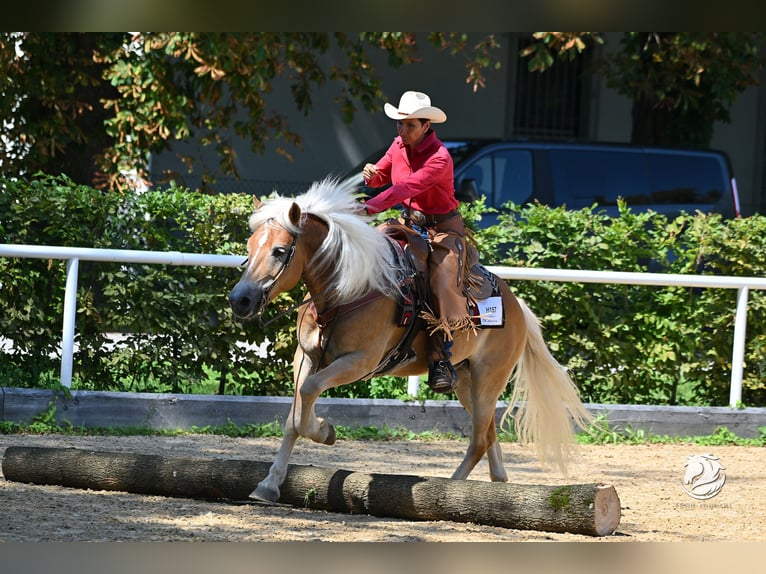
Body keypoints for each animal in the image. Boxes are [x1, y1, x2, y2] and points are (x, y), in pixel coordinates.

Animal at [228, 177, 592, 504]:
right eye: (249, 248)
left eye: (279, 251)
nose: (240, 300)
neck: (346, 288)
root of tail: (516, 305)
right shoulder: (305, 357)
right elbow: (294, 416)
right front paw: (269, 485)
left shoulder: (359, 361)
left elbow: (308, 393)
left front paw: (324, 431)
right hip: (466, 381)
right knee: (488, 432)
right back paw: (498, 483)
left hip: (489, 377)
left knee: (478, 439)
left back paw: (450, 490)